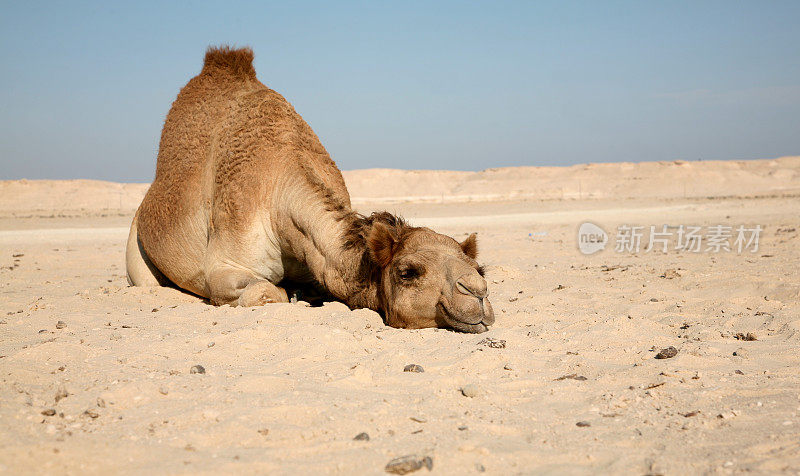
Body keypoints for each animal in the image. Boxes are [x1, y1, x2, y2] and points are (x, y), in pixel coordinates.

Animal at [126, 46, 494, 332]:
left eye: (480, 269)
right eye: (408, 272)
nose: (478, 292)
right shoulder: (225, 265)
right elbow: (266, 292)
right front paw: (289, 295)